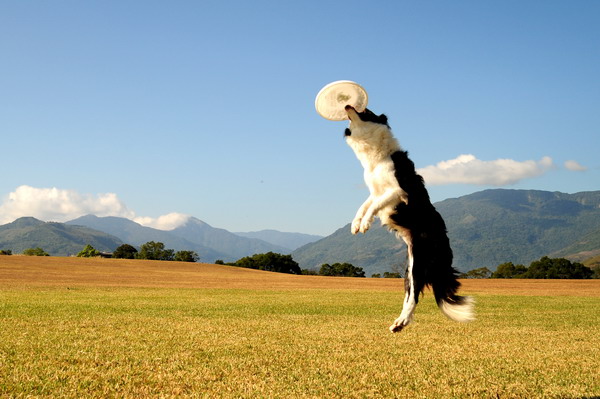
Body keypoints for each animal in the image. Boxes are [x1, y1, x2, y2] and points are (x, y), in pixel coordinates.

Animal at [344, 104, 476, 332]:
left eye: (366, 110)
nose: (347, 105)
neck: (377, 158)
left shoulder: (397, 190)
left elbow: (374, 206)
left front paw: (366, 223)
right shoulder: (374, 192)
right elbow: (364, 205)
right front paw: (356, 224)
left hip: (419, 264)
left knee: (414, 296)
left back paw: (402, 321)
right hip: (410, 269)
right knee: (410, 295)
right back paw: (399, 322)